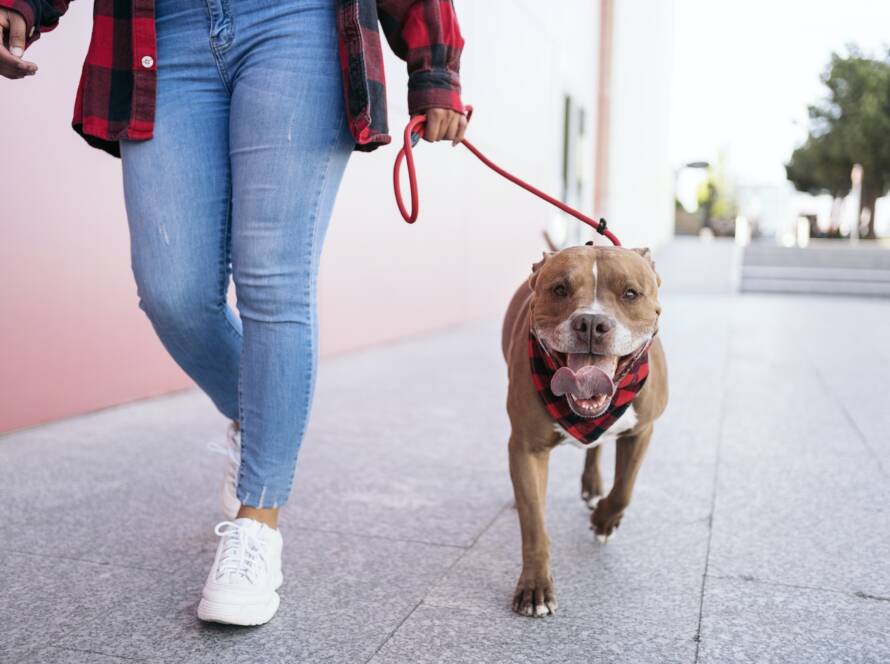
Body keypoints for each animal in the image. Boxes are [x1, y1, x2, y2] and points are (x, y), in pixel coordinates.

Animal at [500, 243, 664, 616]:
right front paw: (535, 587)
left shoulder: (643, 430)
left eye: (630, 293)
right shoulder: (526, 447)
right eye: (560, 289)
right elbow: (534, 523)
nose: (590, 322)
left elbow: (624, 489)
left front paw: (604, 521)